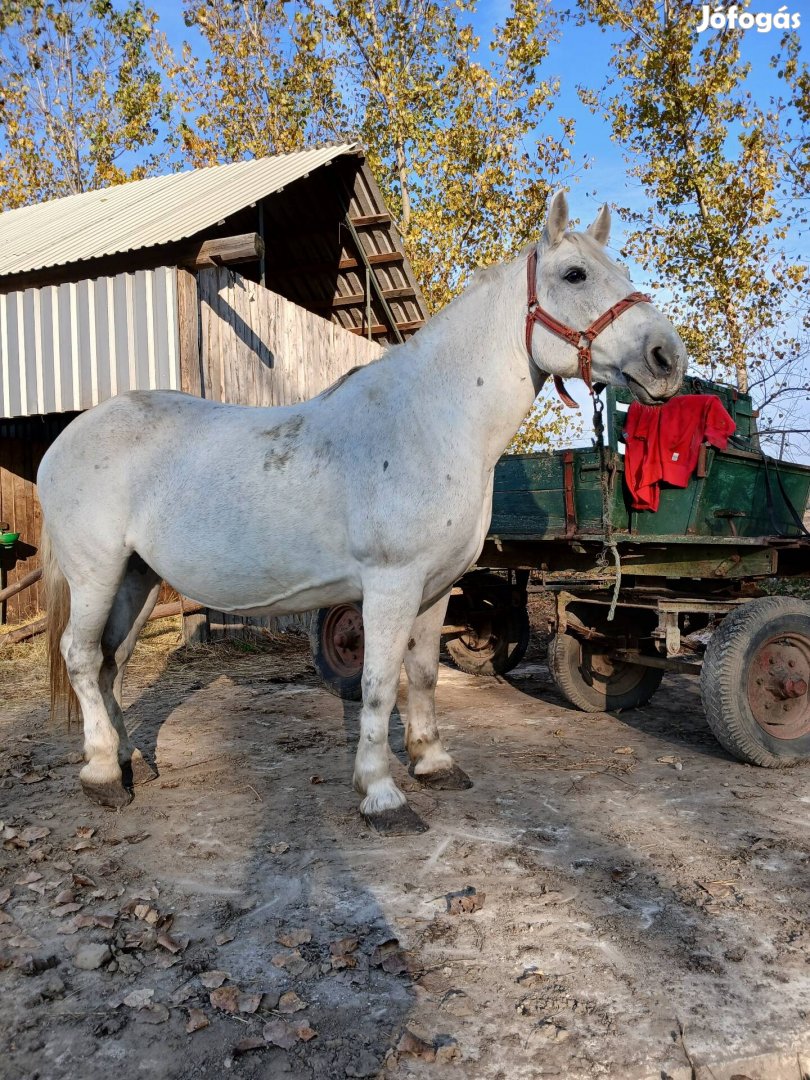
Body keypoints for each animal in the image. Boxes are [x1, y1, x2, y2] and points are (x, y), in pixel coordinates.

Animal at [38, 192, 686, 833]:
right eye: (575, 274)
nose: (667, 359)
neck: (431, 423)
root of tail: (66, 439)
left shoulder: (435, 588)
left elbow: (422, 674)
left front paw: (433, 762)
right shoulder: (390, 585)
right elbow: (378, 683)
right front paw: (381, 794)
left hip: (138, 577)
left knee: (111, 659)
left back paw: (126, 760)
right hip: (97, 574)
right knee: (81, 655)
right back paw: (102, 775)